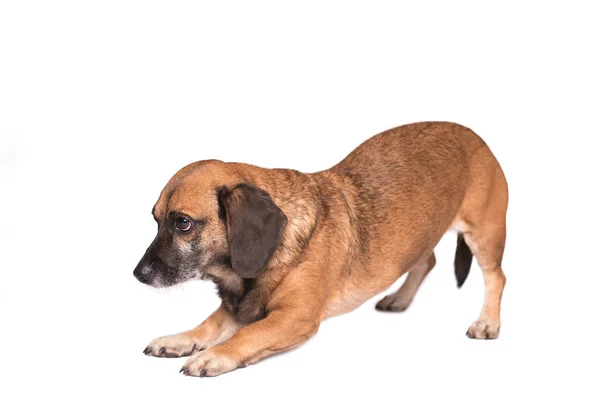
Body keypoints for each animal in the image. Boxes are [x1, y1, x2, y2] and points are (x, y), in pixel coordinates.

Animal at [135, 120, 506, 376]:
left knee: (496, 278)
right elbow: (208, 325)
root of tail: (473, 135)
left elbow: (247, 336)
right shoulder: (239, 307)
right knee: (425, 261)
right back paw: (399, 298)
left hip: (485, 235)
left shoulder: (293, 318)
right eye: (155, 219)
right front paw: (179, 339)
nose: (138, 275)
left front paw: (214, 355)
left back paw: (487, 323)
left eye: (183, 223)